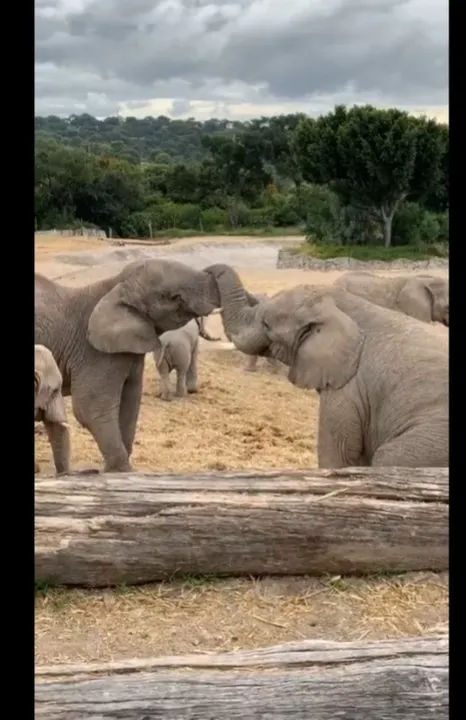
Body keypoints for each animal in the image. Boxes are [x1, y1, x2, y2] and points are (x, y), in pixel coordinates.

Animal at [204, 263, 449, 469]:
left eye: (266, 324)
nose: (207, 271)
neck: (342, 306)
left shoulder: (349, 388)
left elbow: (338, 457)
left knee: (389, 457)